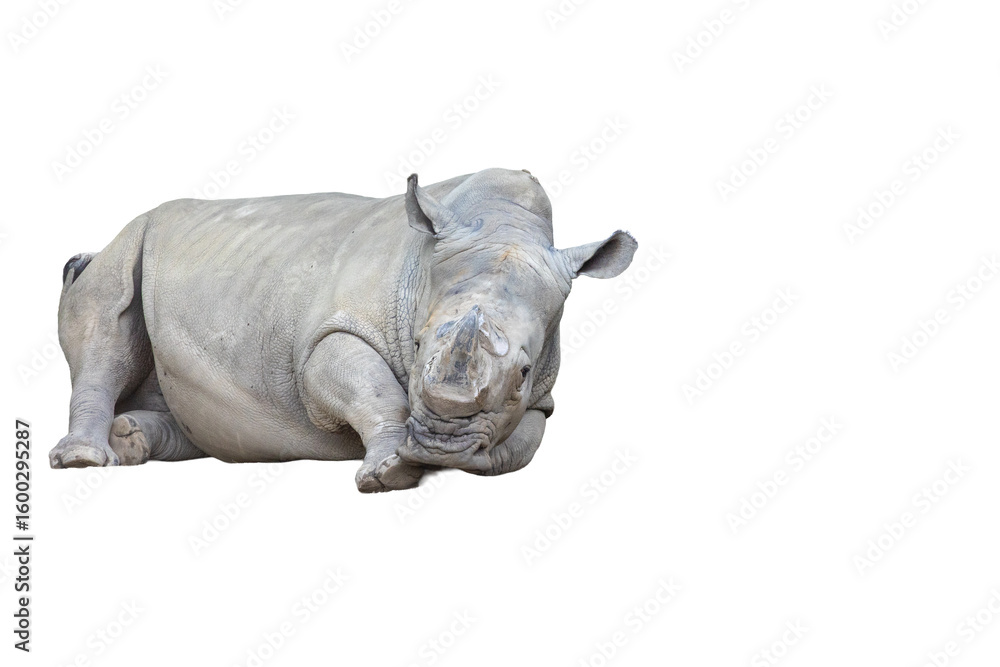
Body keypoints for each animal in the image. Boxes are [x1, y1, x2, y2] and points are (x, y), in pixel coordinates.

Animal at [49, 168, 637, 492]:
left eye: (523, 373)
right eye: (417, 343)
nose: (441, 445)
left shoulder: (543, 397)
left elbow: (526, 444)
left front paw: (468, 460)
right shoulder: (328, 338)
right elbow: (371, 390)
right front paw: (390, 475)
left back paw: (129, 440)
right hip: (131, 239)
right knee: (106, 327)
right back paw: (85, 460)